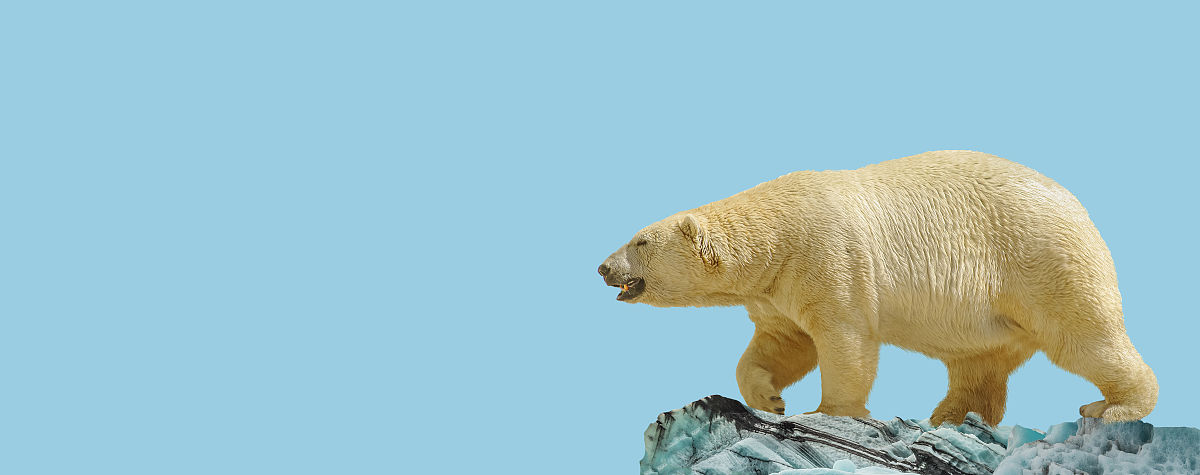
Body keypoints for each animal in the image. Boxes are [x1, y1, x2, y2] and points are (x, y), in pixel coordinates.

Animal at [598, 150, 1157, 426]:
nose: (602, 267)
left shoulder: (827, 257)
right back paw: (951, 417)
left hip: (1042, 259)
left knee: (1083, 336)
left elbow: (844, 339)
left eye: (640, 240)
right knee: (978, 360)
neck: (777, 232)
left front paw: (828, 411)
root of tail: (1077, 206)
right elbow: (782, 344)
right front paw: (770, 399)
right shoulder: (775, 289)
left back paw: (1112, 408)